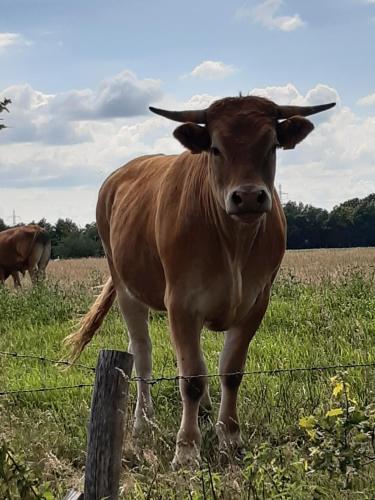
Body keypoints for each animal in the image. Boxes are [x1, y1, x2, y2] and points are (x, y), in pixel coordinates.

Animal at [65, 94, 338, 468]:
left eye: (271, 145)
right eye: (215, 148)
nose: (248, 196)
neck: (234, 244)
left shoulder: (256, 301)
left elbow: (230, 372)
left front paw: (230, 437)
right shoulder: (180, 302)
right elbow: (191, 377)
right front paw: (187, 450)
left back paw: (205, 411)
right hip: (125, 287)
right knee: (142, 353)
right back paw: (143, 421)